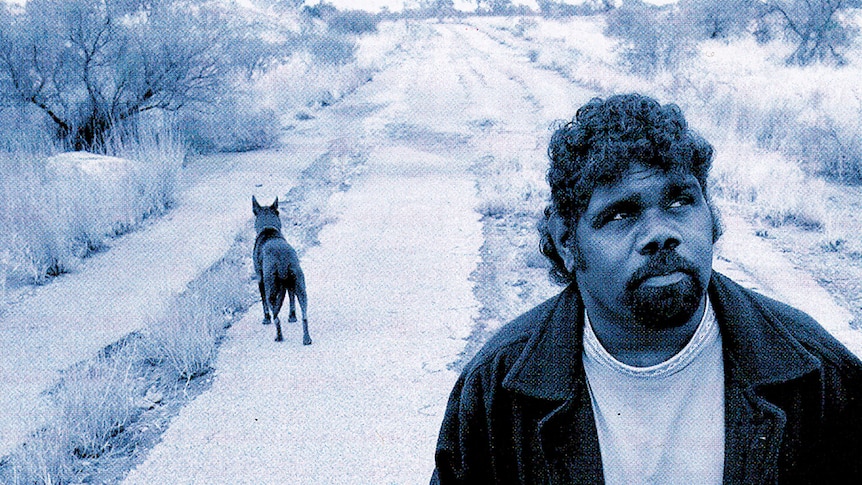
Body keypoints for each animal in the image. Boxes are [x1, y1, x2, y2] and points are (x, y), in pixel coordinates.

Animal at [253, 194, 310, 344]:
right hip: (300, 286)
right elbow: (291, 299)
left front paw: (266, 319)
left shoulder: (260, 280)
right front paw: (292, 316)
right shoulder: (290, 284)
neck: (268, 228)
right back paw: (306, 339)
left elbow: (264, 304)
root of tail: (282, 260)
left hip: (271, 289)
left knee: (276, 317)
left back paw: (279, 336)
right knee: (305, 316)